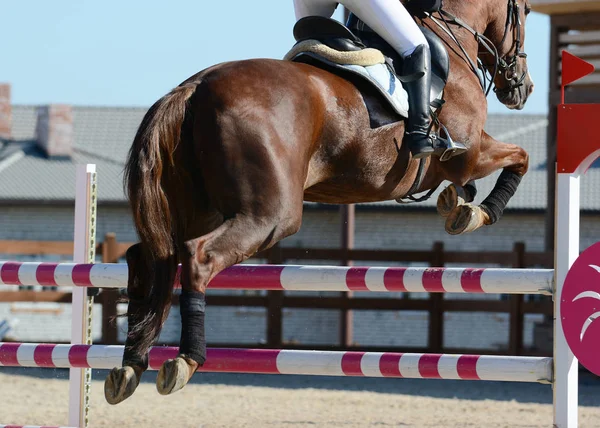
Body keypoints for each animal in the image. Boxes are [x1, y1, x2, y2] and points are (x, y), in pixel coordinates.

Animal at [103, 0, 536, 404]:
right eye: (526, 12)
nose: (523, 87)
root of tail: (194, 87)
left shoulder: (461, 161)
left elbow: (478, 178)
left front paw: (457, 202)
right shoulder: (469, 152)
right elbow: (520, 157)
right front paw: (478, 213)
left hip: (199, 208)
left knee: (149, 258)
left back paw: (130, 365)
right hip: (270, 216)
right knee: (198, 257)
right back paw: (186, 359)